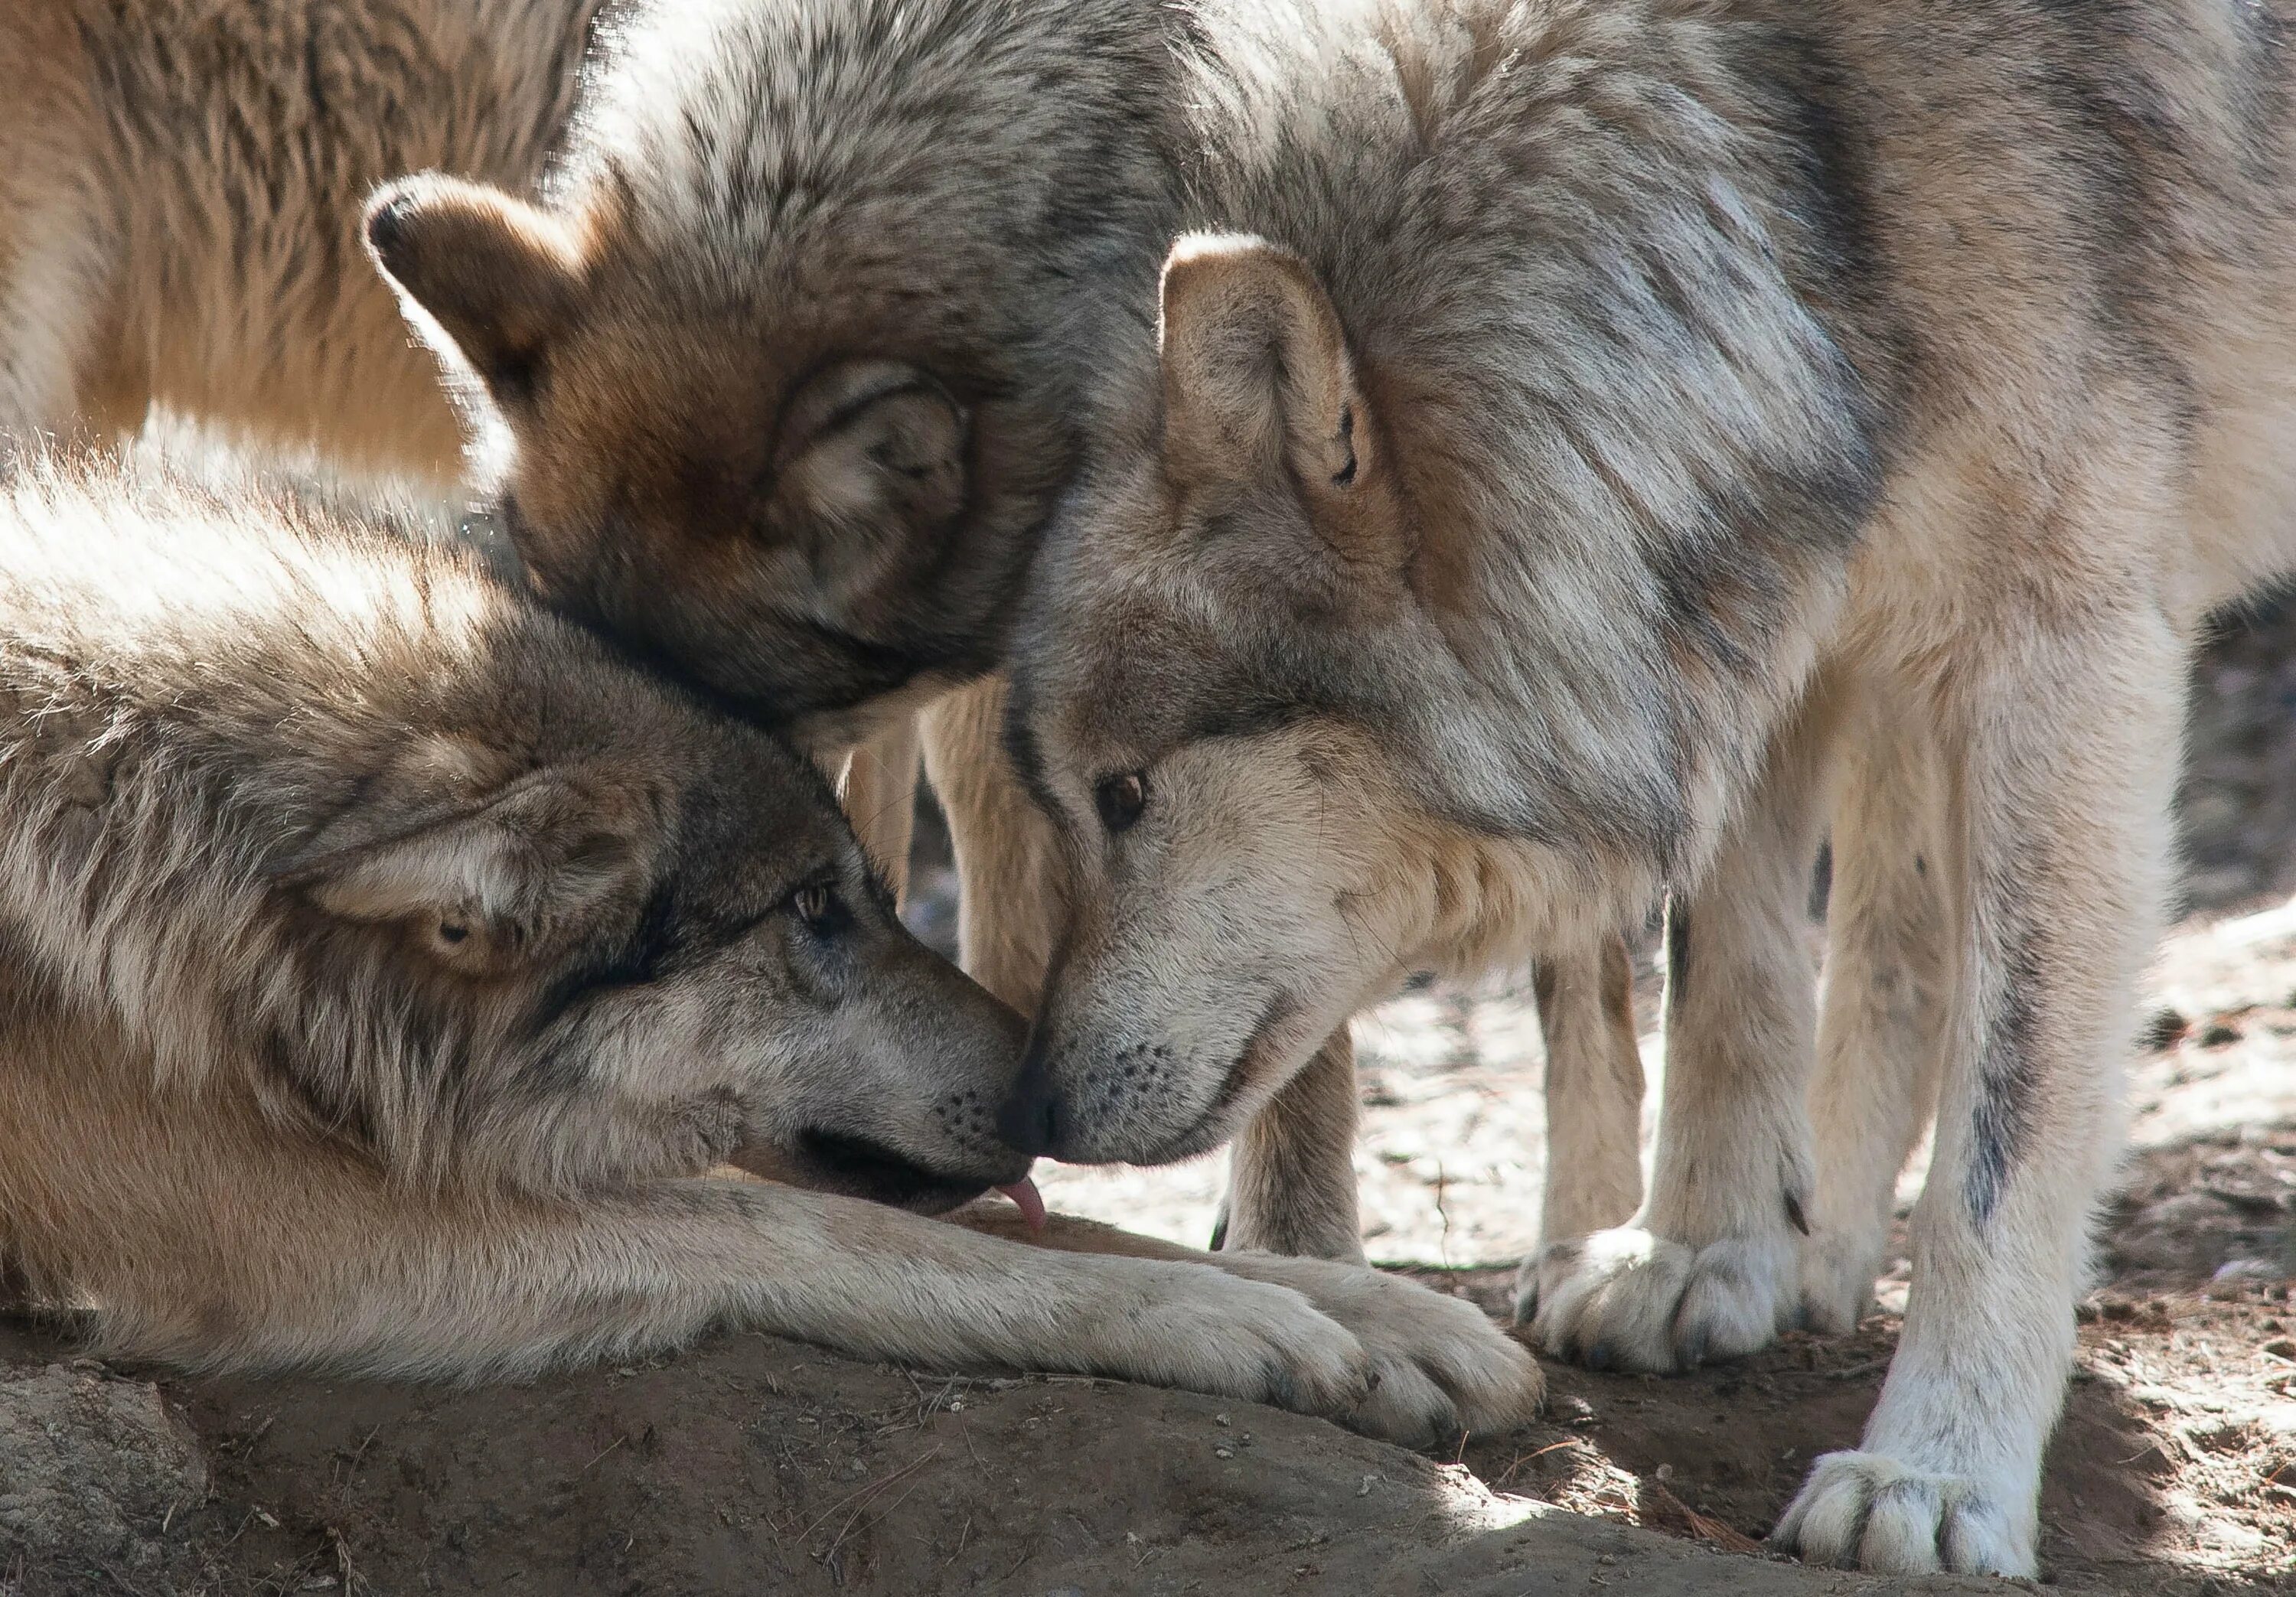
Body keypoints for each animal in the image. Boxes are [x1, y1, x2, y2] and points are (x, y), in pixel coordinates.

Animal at [4, 451, 1543, 1450]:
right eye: (808, 910)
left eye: (867, 891)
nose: (1051, 1095)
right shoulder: (300, 1226)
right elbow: (830, 1231)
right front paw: (1221, 1315)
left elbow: (989, 1219)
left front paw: (1382, 1313)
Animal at [987, 0, 2296, 1579]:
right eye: (1073, 795)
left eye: (1124, 794)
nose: (1029, 1100)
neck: (1796, 170)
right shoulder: (1772, 590)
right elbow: (1727, 965)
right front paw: (1698, 1256)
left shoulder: (2072, 646)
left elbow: (2003, 1123)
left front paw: (1937, 1474)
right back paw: (1812, 1252)